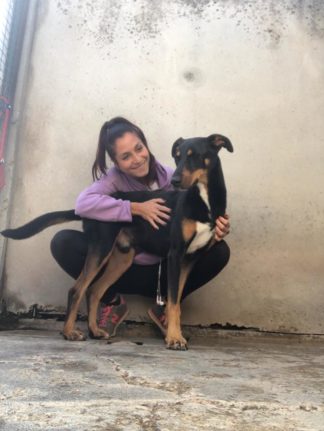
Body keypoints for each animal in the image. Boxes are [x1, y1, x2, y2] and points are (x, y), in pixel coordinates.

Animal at [0, 135, 233, 352]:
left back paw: (94, 331)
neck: (204, 199)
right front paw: (175, 338)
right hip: (102, 247)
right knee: (77, 289)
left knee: (94, 291)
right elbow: (174, 303)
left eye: (193, 155)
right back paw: (69, 332)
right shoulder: (175, 254)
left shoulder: (190, 259)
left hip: (122, 258)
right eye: (177, 156)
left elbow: (174, 301)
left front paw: (173, 333)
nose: (175, 180)